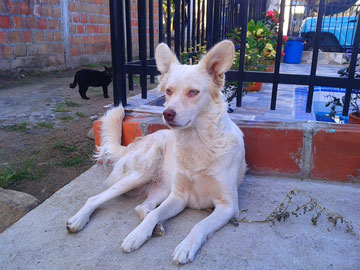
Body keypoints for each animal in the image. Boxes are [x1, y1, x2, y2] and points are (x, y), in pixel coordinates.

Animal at [66, 40, 246, 264]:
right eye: (168, 91)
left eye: (193, 92)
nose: (167, 113)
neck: (197, 142)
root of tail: (131, 145)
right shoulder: (179, 196)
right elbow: (155, 214)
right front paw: (136, 235)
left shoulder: (228, 206)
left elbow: (199, 224)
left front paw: (185, 246)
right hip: (140, 175)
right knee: (98, 199)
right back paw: (79, 219)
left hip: (161, 189)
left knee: (142, 207)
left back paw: (156, 227)